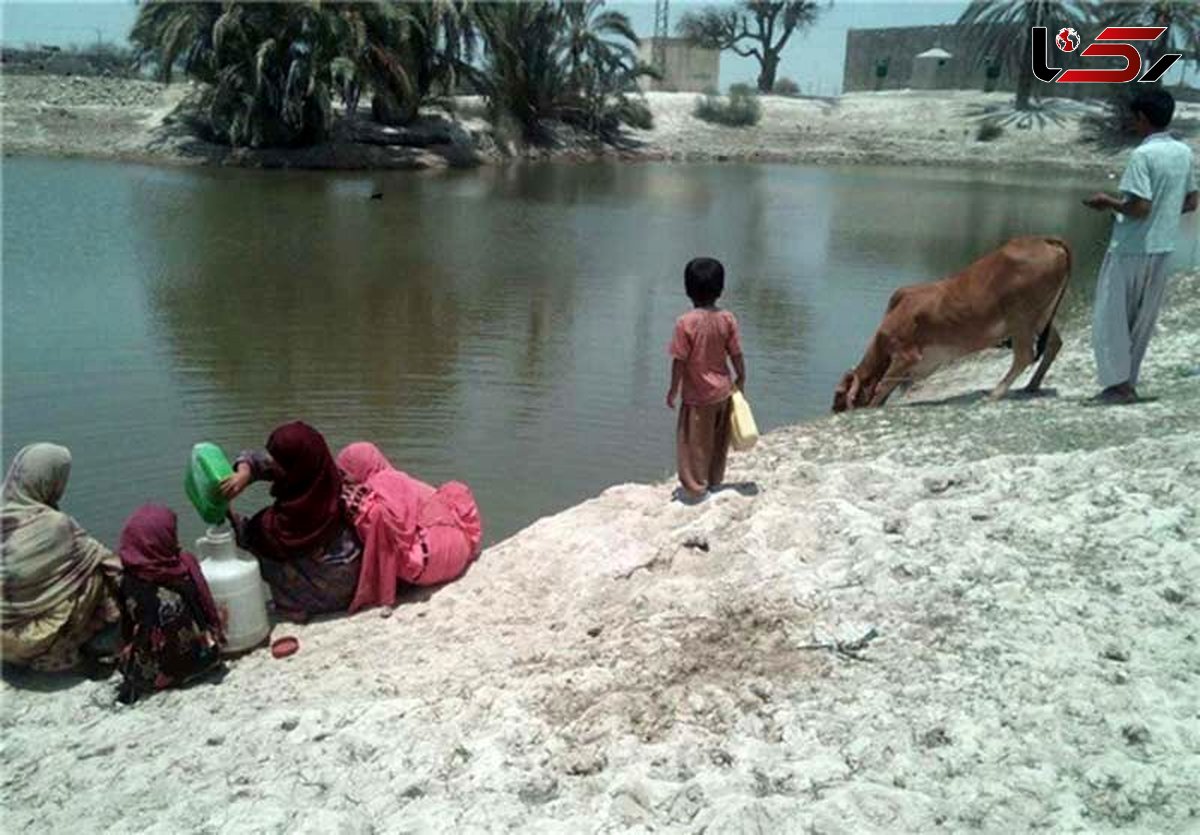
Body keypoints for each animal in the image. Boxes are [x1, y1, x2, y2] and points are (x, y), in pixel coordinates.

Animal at [835, 236, 1070, 412]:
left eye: (839, 393)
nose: (834, 410)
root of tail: (1045, 240)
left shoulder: (905, 355)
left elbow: (882, 386)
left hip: (1021, 319)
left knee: (1024, 356)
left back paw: (995, 394)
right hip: (1041, 317)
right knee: (1054, 343)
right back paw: (1032, 385)